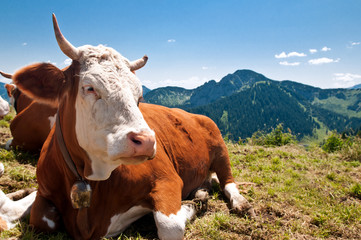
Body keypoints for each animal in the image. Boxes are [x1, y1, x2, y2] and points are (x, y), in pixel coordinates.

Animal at [0, 14, 253, 238]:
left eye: (139, 96)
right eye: (89, 88)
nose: (147, 142)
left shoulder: (167, 179)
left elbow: (169, 226)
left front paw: (192, 205)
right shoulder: (46, 192)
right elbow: (40, 219)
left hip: (220, 146)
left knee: (228, 181)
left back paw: (239, 202)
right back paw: (202, 189)